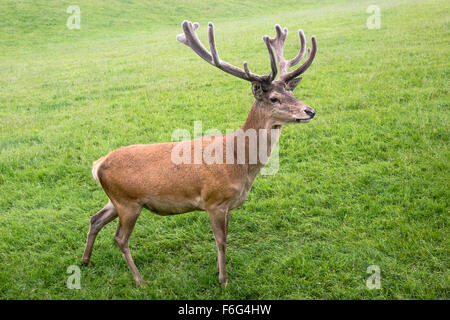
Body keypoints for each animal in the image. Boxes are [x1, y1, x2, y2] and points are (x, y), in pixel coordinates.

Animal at [82, 21, 318, 286]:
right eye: (275, 98)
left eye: (292, 93)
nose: (309, 111)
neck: (239, 163)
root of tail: (97, 165)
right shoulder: (214, 200)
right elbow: (221, 241)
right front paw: (223, 280)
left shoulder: (228, 205)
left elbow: (226, 238)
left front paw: (220, 273)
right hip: (127, 202)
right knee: (120, 238)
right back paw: (139, 280)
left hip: (116, 200)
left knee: (95, 218)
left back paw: (86, 261)